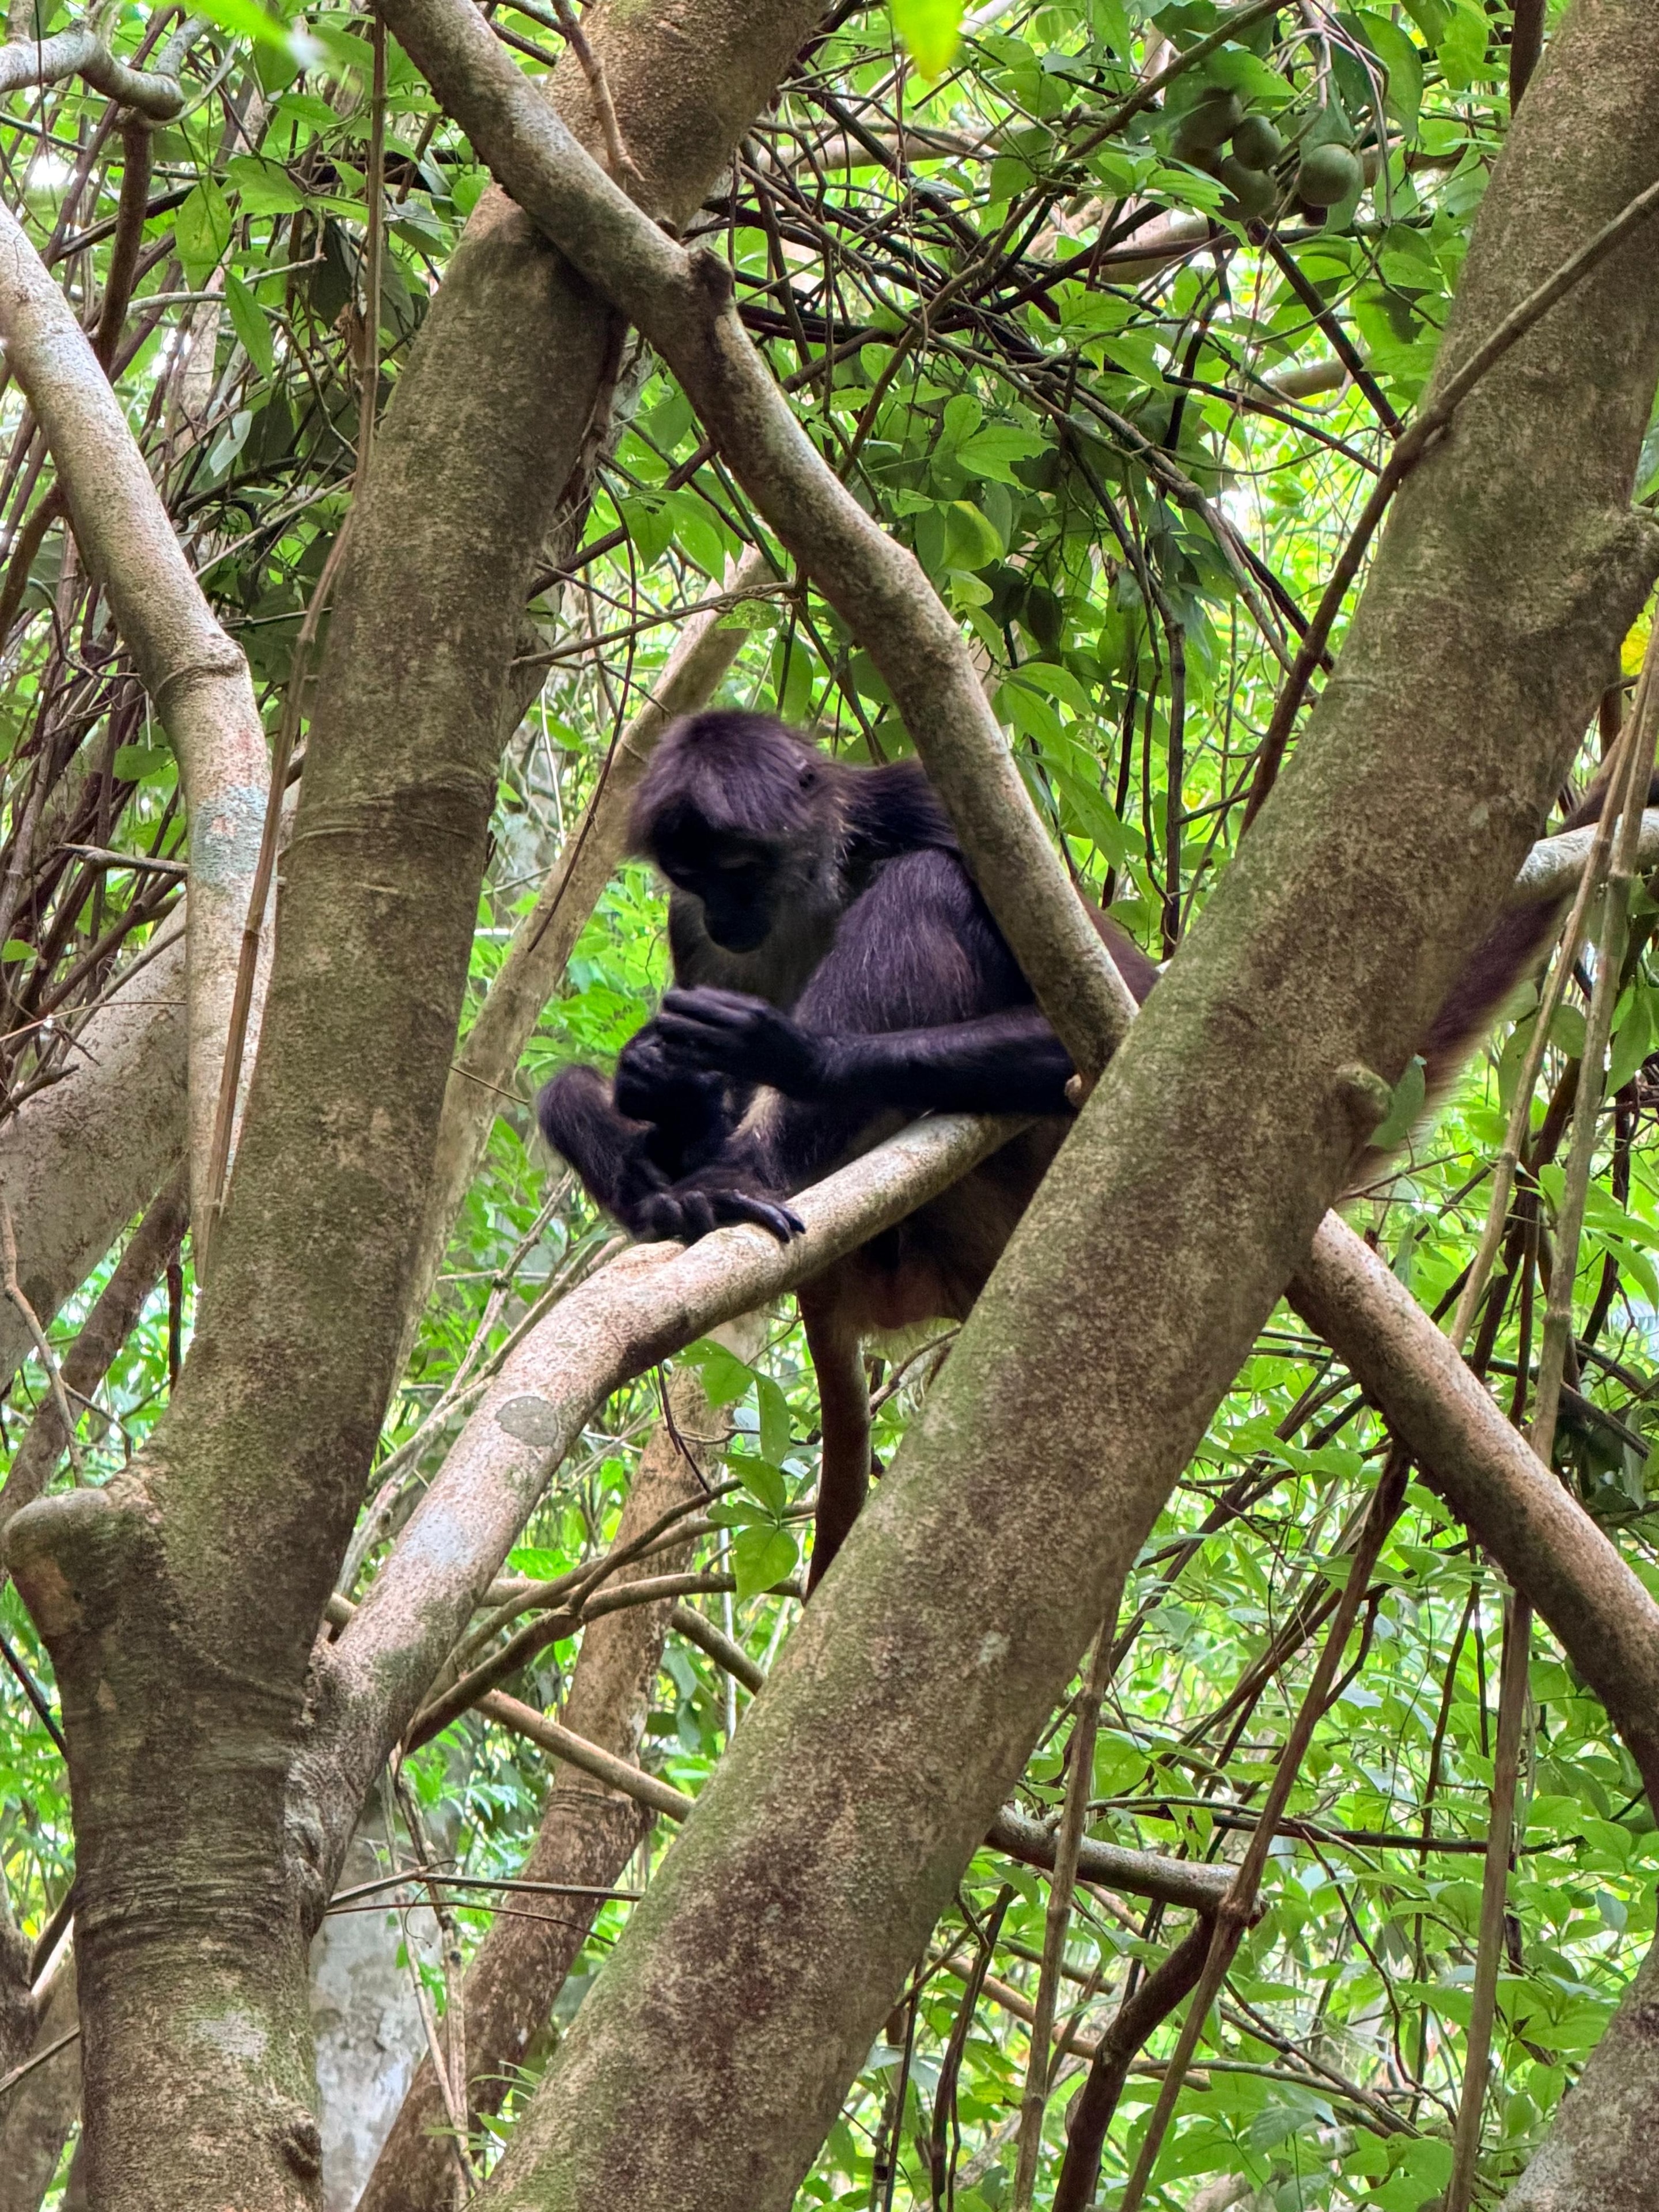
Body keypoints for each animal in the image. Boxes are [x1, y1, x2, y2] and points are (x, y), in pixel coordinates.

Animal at [539, 709, 1630, 1591]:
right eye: (694, 875)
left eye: (740, 866)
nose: (728, 912)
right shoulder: (694, 932)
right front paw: (658, 1086)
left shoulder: (924, 804)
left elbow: (1124, 1024)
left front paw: (792, 1054)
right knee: (565, 1097)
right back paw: (671, 1186)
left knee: (933, 890)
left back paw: (745, 1170)